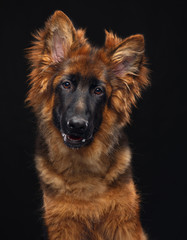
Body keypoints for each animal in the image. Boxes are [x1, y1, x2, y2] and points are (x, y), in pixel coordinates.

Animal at [26, 10, 149, 239]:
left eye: (98, 91)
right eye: (66, 84)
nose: (77, 125)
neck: (83, 166)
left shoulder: (124, 221)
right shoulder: (63, 224)